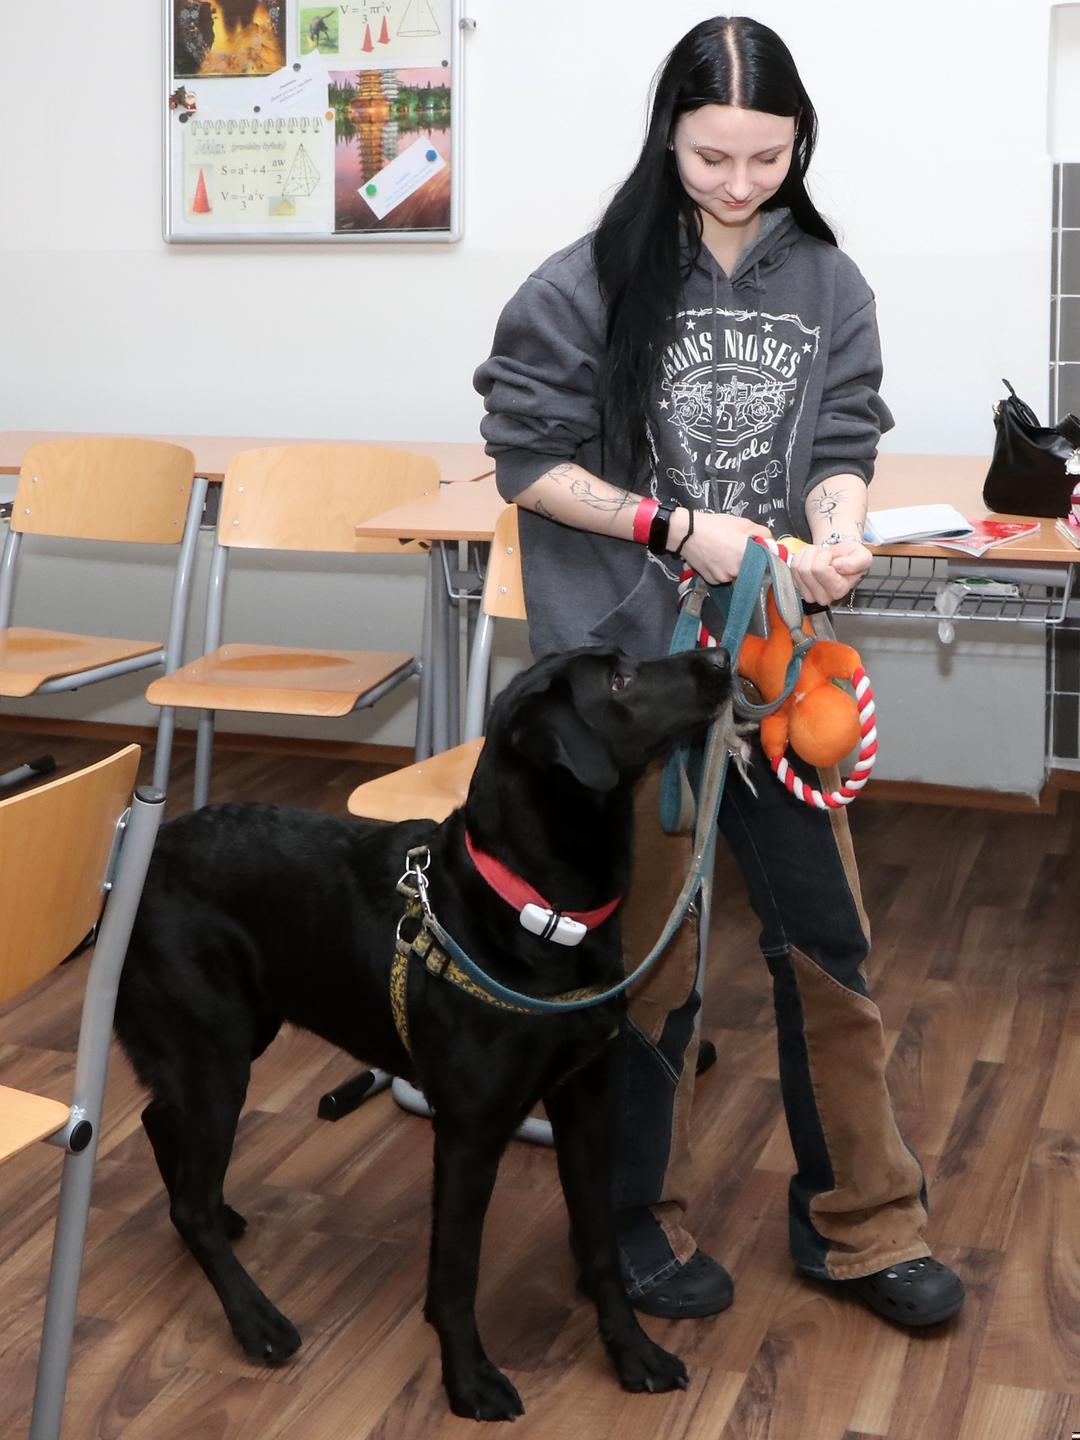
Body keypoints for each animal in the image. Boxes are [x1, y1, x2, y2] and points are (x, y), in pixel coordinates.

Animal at [113, 643, 731, 1420]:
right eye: (619, 680)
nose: (721, 655)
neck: (535, 910)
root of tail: (128, 874)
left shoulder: (586, 1101)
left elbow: (599, 1247)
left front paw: (632, 1353)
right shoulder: (469, 1133)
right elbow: (456, 1274)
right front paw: (468, 1381)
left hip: (228, 1039)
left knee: (162, 1128)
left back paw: (216, 1220)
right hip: (216, 1055)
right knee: (187, 1189)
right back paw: (256, 1319)